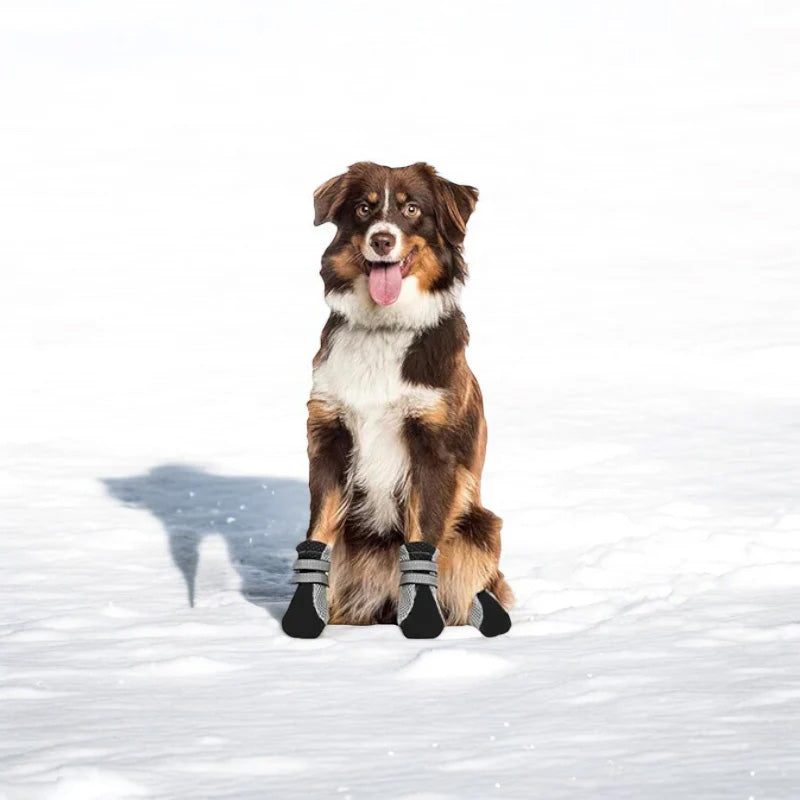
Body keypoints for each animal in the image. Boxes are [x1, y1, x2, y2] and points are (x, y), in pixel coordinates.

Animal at [282, 161, 512, 636]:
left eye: (411, 209)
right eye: (364, 208)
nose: (382, 239)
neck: (384, 326)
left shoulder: (432, 447)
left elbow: (422, 538)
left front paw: (422, 618)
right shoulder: (329, 435)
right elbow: (319, 529)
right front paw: (305, 612)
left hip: (481, 525)